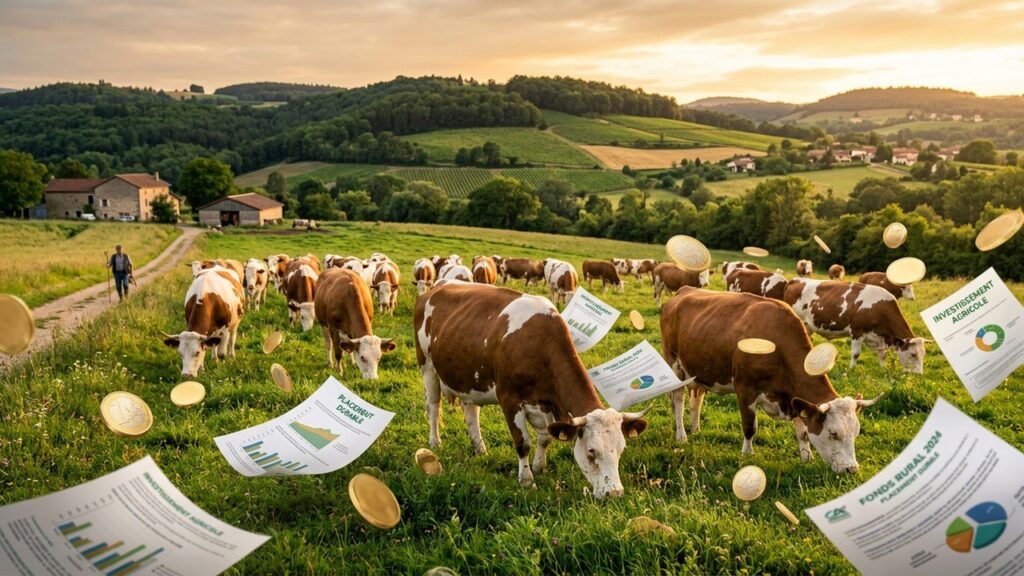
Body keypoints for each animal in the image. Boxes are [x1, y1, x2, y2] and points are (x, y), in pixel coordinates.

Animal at [414, 283, 651, 497]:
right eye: (591, 451)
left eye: (621, 449)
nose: (615, 493)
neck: (539, 343)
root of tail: (436, 286)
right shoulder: (509, 399)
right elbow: (523, 443)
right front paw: (526, 479)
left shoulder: (546, 404)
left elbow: (545, 438)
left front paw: (539, 466)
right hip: (427, 365)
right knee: (433, 406)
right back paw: (435, 442)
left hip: (468, 377)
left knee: (472, 413)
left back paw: (480, 449)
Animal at [661, 287, 881, 474]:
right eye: (833, 433)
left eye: (856, 432)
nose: (852, 469)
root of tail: (684, 290)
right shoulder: (745, 389)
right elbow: (750, 427)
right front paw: (747, 455)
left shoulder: (794, 398)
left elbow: (802, 433)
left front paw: (806, 458)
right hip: (674, 365)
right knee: (678, 400)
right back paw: (682, 436)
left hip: (699, 368)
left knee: (696, 398)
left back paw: (696, 429)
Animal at [784, 279, 928, 373]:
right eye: (913, 354)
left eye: (924, 354)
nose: (919, 374)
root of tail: (795, 280)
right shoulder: (857, 331)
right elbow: (855, 354)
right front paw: (851, 370)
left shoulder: (879, 338)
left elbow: (882, 355)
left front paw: (882, 369)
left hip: (808, 326)